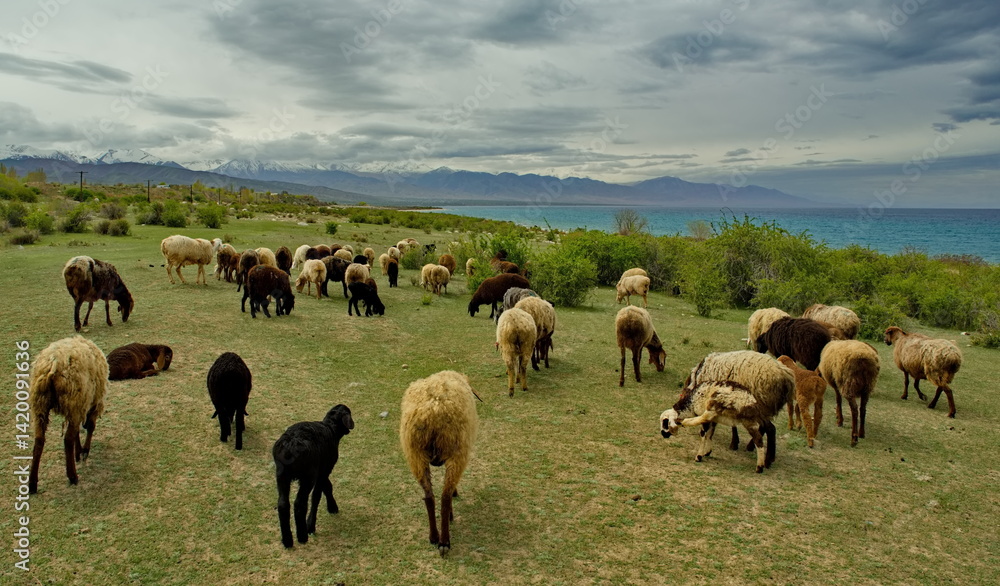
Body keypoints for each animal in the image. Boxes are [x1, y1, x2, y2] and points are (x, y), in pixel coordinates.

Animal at [28, 336, 108, 493]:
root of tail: (53, 363)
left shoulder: (79, 409)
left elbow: (78, 431)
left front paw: (78, 453)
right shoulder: (92, 403)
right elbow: (90, 427)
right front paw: (84, 452)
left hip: (40, 404)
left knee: (39, 440)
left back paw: (32, 483)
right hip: (73, 400)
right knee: (68, 439)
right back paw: (72, 476)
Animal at [273, 404, 354, 548]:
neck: (330, 427)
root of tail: (290, 445)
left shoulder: (322, 469)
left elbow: (327, 486)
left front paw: (332, 507)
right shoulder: (324, 469)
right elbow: (317, 495)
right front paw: (311, 525)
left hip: (281, 474)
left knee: (282, 504)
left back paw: (287, 540)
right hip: (307, 476)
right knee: (300, 503)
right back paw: (302, 536)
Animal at [399, 371, 478, 555]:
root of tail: (433, 410)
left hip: (415, 455)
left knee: (429, 497)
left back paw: (434, 536)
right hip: (457, 452)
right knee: (445, 497)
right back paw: (444, 541)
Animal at [660, 351, 794, 471]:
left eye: (665, 424)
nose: (663, 435)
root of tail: (786, 376)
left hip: (761, 406)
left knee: (769, 429)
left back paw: (766, 461)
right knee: (765, 429)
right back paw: (759, 452)